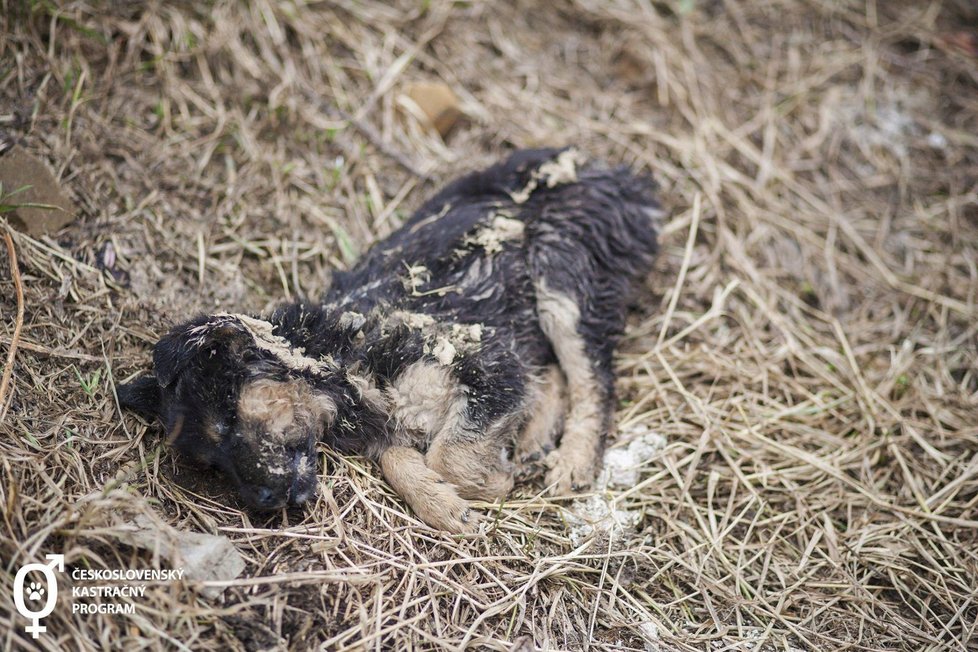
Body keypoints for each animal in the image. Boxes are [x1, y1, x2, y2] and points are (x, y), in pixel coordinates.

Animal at [118, 150, 660, 532]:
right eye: (212, 464)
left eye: (230, 420)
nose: (265, 505)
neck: (341, 357)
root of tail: (612, 175)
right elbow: (399, 457)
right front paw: (444, 505)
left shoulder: (484, 363)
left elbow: (448, 454)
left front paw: (490, 481)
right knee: (551, 371)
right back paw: (533, 436)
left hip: (562, 277)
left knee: (592, 378)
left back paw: (571, 461)